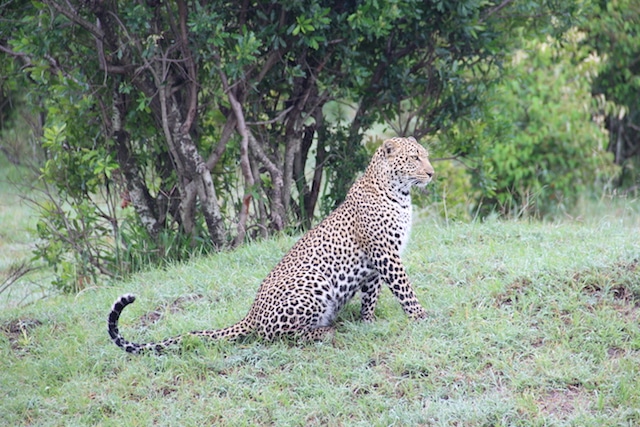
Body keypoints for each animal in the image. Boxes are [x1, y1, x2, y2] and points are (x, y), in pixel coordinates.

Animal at [109, 137, 436, 354]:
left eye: (425, 156)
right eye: (414, 158)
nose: (431, 173)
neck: (399, 193)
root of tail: (251, 314)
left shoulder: (375, 262)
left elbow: (372, 294)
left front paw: (368, 321)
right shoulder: (385, 253)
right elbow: (404, 288)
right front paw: (421, 316)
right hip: (313, 284)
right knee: (275, 337)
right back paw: (325, 332)